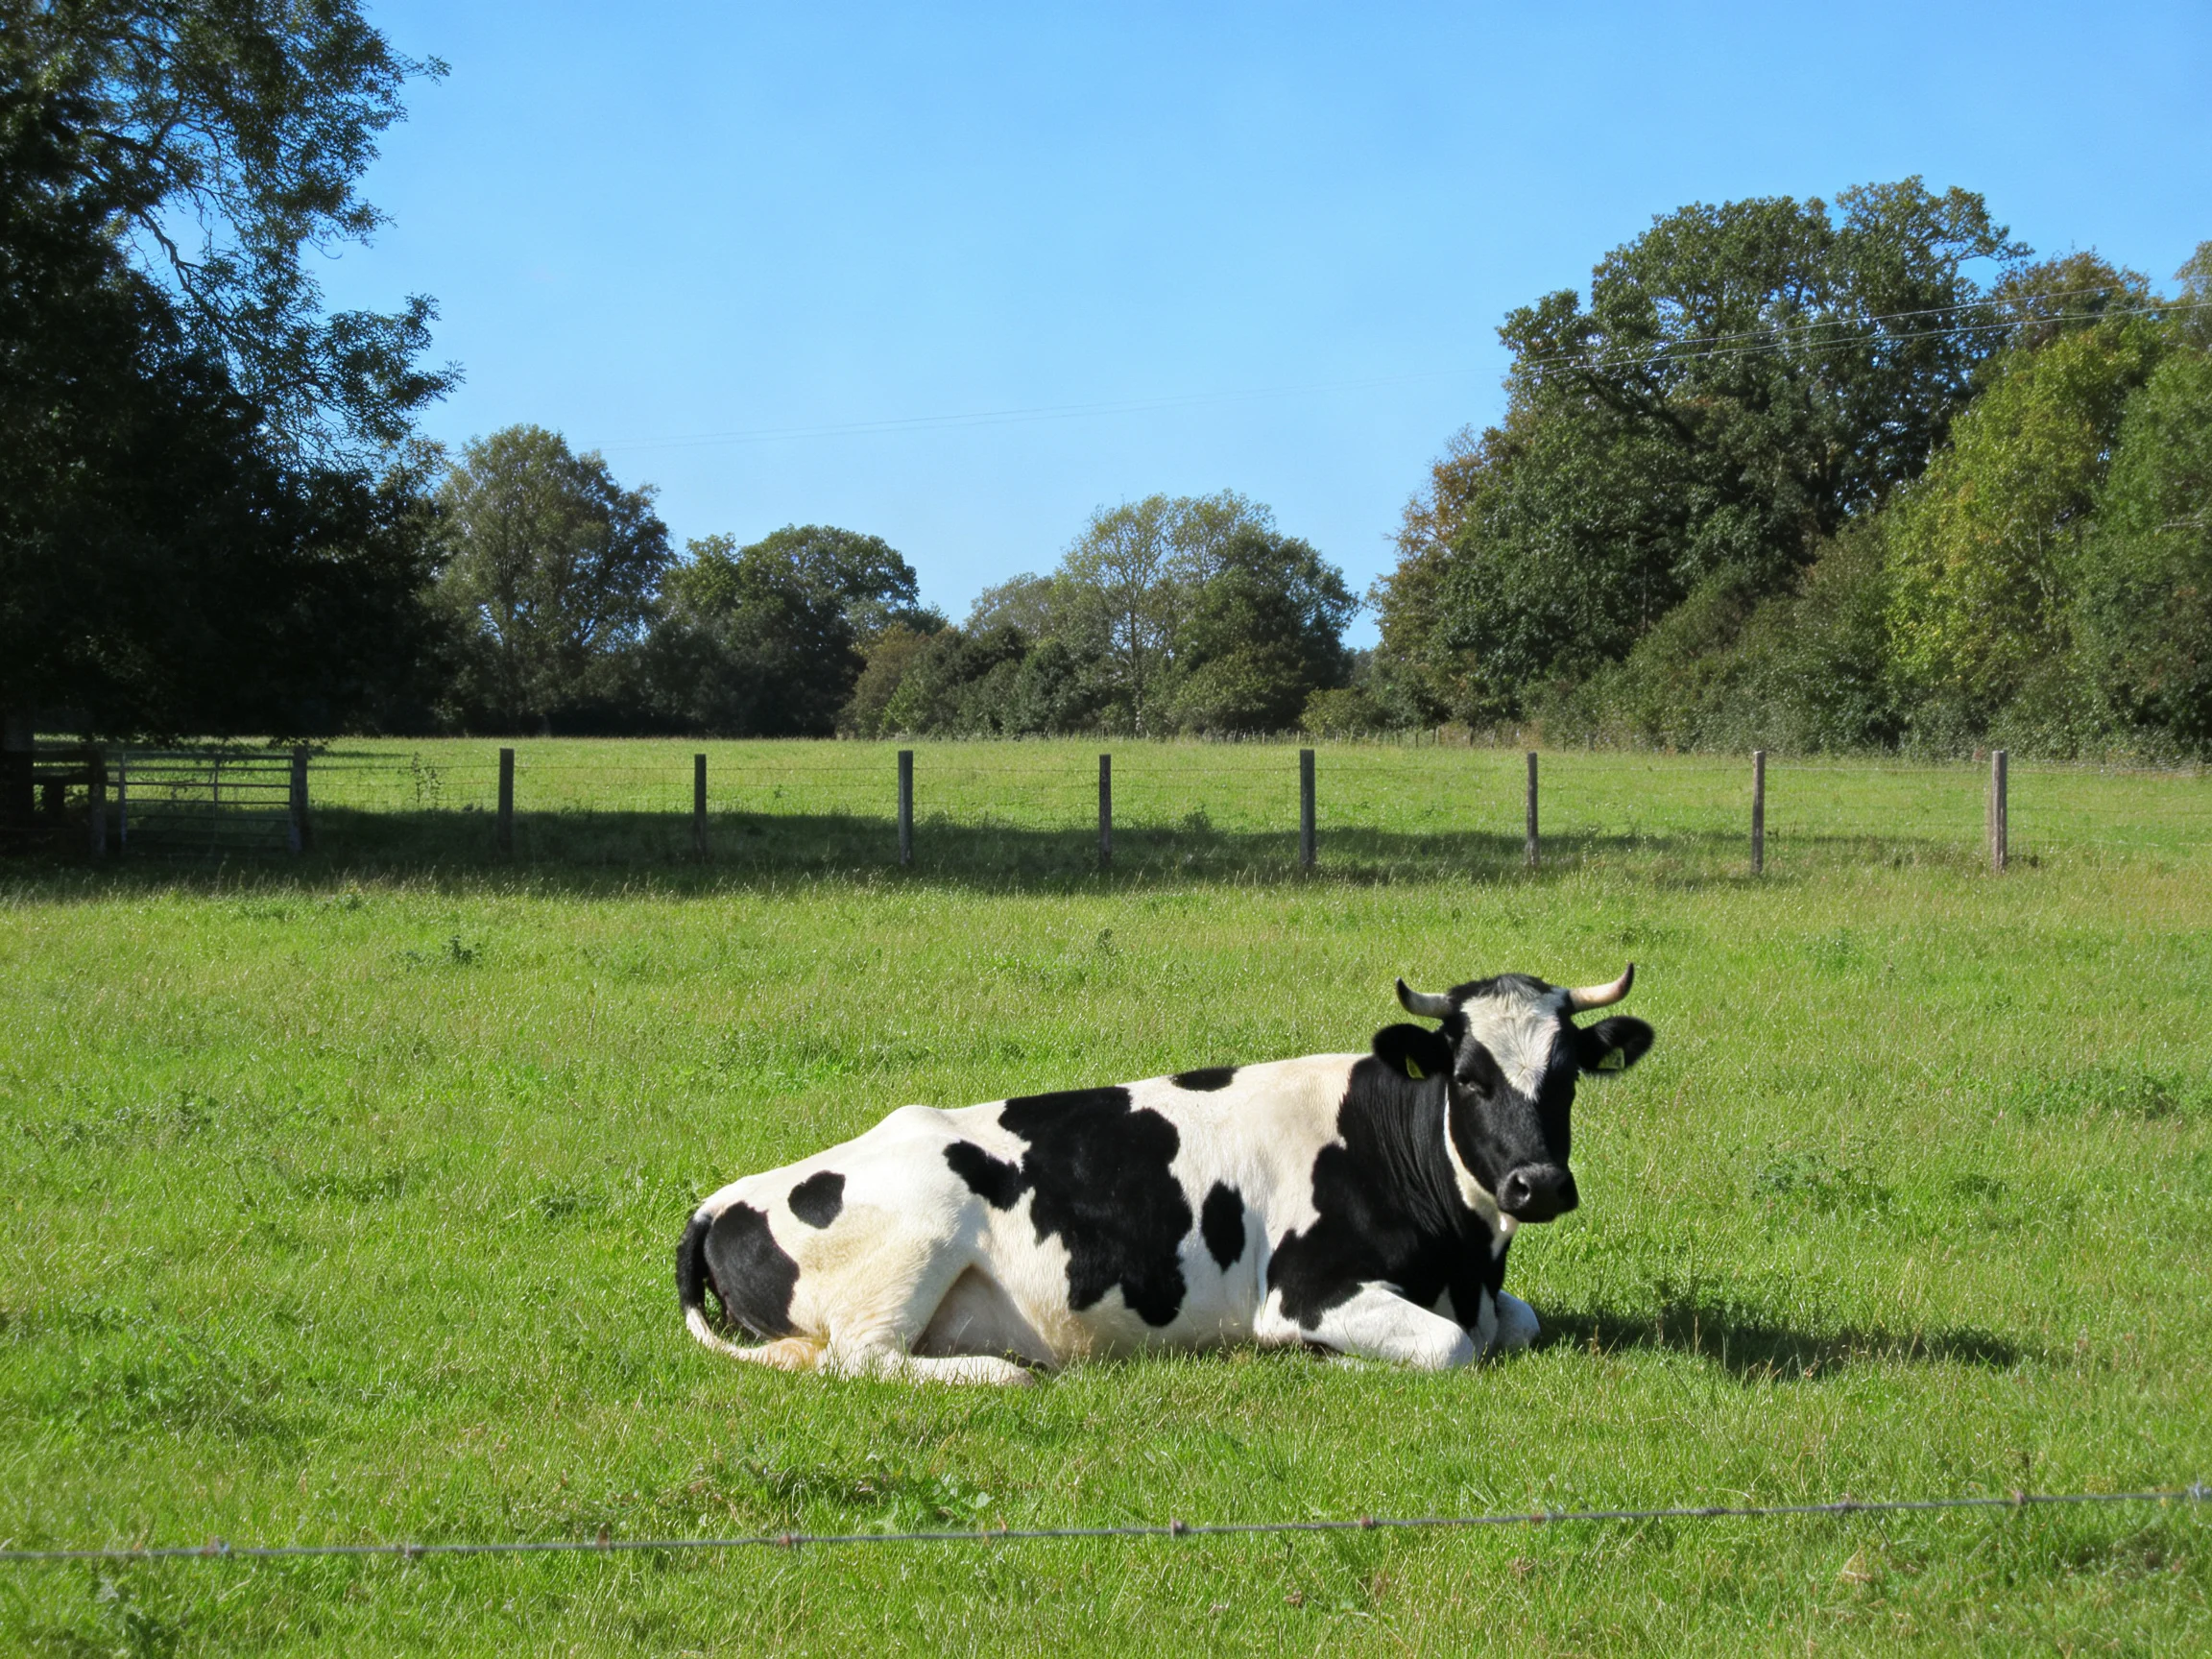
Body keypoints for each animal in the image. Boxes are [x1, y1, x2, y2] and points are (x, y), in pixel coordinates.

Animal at [675, 965, 1653, 1384]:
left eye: (1567, 1075)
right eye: (1470, 1078)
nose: (1538, 1185)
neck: (1465, 1260)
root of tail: (721, 1199)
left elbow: (1518, 1324)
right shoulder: (1305, 1291)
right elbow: (1451, 1348)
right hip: (916, 1239)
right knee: (861, 1359)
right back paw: (1000, 1372)